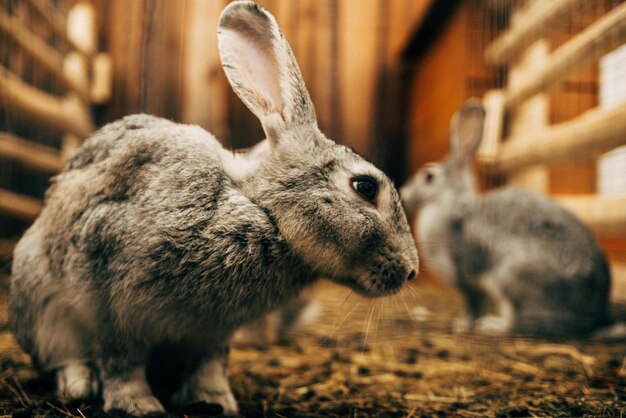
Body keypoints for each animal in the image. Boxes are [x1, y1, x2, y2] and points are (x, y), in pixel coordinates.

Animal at [8, 1, 414, 416]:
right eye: (365, 187)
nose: (411, 270)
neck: (260, 210)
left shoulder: (210, 333)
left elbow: (209, 365)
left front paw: (216, 400)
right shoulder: (109, 300)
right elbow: (121, 360)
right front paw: (138, 405)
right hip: (41, 305)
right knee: (62, 356)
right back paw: (80, 385)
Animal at [400, 99, 616, 338]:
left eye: (429, 177)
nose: (404, 193)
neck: (449, 200)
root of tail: (593, 318)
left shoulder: (467, 275)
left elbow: (472, 302)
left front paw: (463, 325)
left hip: (510, 277)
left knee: (525, 323)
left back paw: (492, 326)